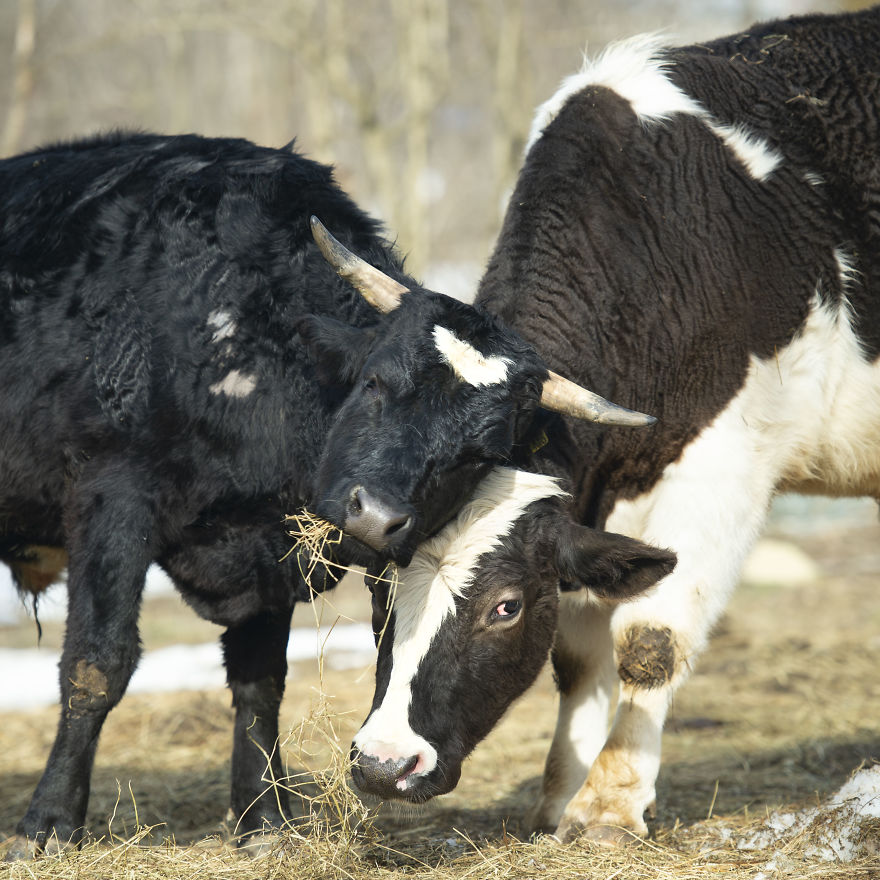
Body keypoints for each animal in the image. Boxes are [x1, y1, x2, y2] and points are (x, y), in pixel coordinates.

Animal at [303, 6, 880, 844]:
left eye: (505, 606)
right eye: (381, 583)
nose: (384, 763)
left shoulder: (727, 468)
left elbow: (650, 641)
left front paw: (608, 802)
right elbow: (579, 656)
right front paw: (560, 794)